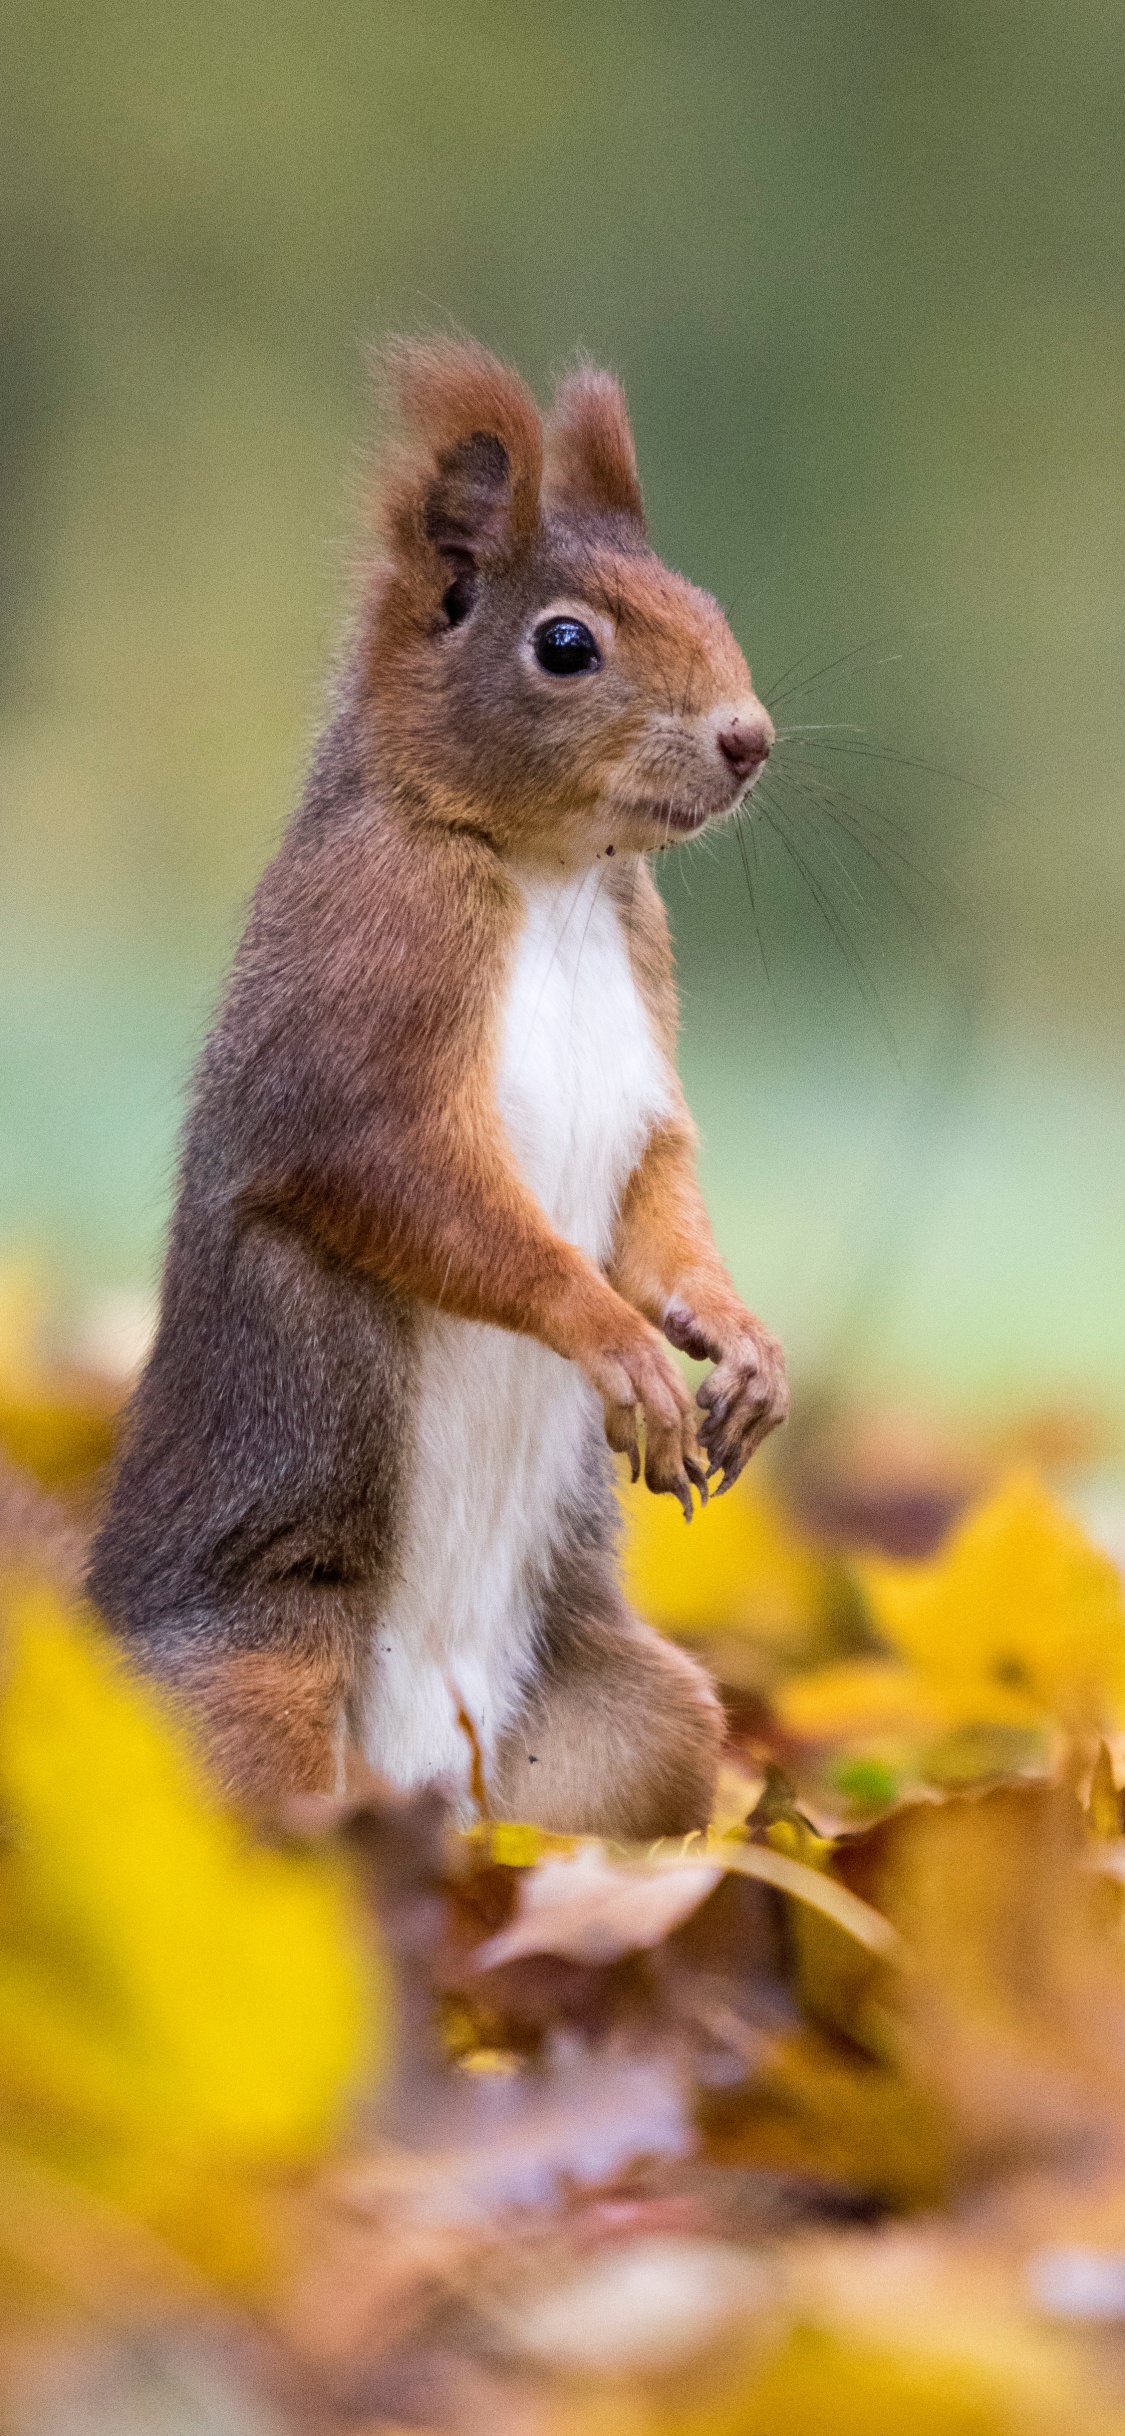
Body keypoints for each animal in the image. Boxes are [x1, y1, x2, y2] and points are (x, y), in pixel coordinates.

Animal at [87, 339, 788, 1838]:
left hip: (639, 1727)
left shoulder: (646, 1033)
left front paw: (736, 1339)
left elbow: (663, 1194)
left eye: (702, 598)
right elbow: (411, 1187)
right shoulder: (369, 986)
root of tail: (420, 1793)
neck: (554, 875)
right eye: (565, 644)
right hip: (250, 1694)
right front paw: (615, 1339)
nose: (749, 738)